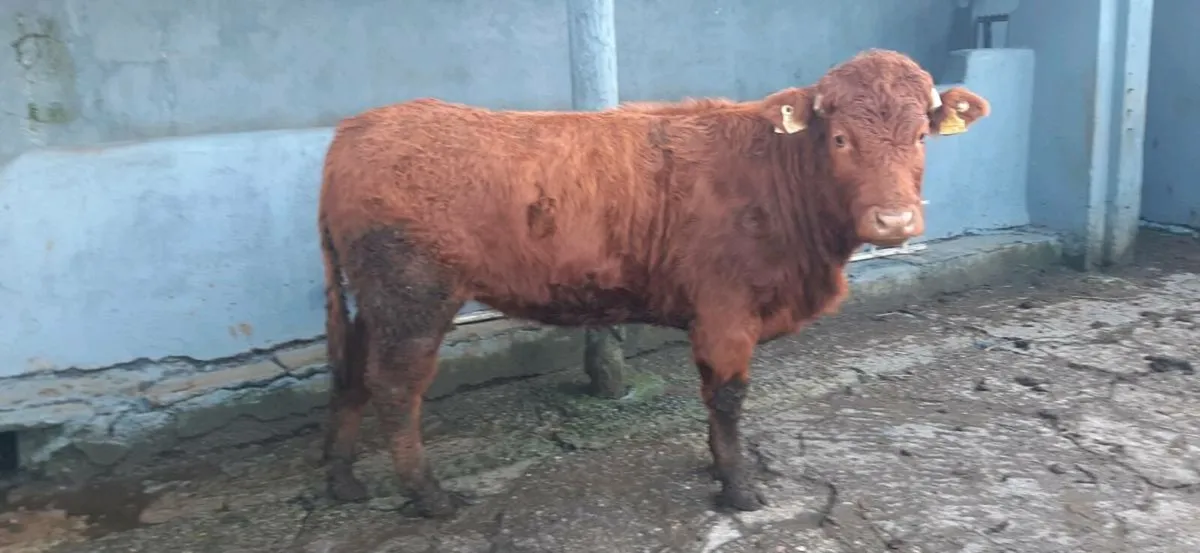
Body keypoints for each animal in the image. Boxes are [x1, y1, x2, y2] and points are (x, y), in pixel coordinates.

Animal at [317, 49, 990, 518]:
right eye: (842, 138)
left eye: (921, 136)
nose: (895, 220)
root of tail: (359, 127)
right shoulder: (725, 312)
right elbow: (728, 397)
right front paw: (738, 487)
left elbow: (715, 399)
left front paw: (720, 467)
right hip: (414, 296)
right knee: (395, 389)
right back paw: (428, 496)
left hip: (373, 300)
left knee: (351, 373)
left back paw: (344, 480)